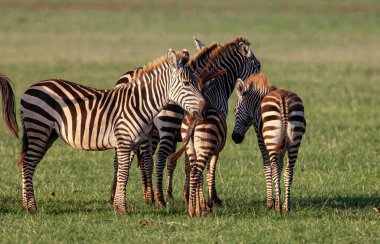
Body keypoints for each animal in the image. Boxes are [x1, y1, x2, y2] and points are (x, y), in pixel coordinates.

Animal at [15, 49, 205, 214]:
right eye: (187, 83)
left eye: (197, 82)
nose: (204, 107)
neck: (139, 104)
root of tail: (30, 88)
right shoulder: (124, 140)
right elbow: (123, 172)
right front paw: (122, 208)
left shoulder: (132, 143)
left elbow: (123, 172)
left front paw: (117, 205)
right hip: (38, 128)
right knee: (28, 164)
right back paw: (31, 207)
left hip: (47, 134)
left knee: (29, 165)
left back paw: (26, 204)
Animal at [169, 36, 262, 217]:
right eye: (258, 66)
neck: (216, 84)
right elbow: (211, 165)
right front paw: (212, 198)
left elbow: (188, 166)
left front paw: (188, 197)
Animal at [232, 73, 306, 214]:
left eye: (234, 110)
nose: (235, 138)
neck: (256, 106)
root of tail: (283, 99)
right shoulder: (281, 148)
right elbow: (280, 167)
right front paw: (279, 196)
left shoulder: (261, 140)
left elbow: (267, 168)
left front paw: (270, 202)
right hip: (294, 142)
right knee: (289, 171)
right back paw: (286, 207)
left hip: (271, 140)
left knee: (274, 169)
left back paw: (277, 208)